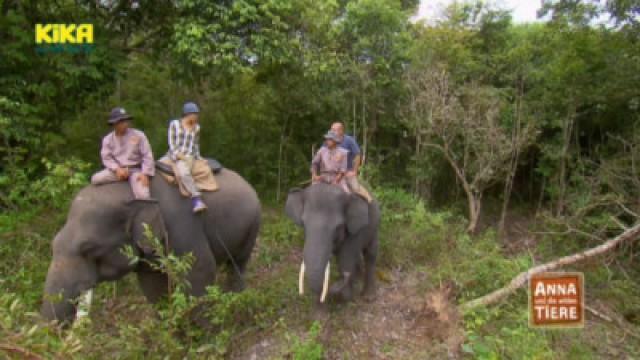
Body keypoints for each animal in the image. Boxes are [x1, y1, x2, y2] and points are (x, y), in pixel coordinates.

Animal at [41, 168, 260, 324]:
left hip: (252, 227)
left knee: (237, 263)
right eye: (53, 245)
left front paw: (206, 335)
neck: (134, 193)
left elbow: (199, 271)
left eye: (88, 249)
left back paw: (236, 298)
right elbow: (152, 285)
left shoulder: (181, 225)